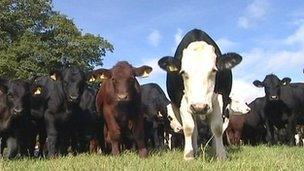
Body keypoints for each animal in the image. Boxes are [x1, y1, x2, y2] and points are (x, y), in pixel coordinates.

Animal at [158, 28, 241, 160]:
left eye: (214, 70)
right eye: (183, 72)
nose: (199, 107)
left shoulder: (220, 97)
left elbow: (217, 128)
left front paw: (221, 155)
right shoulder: (182, 100)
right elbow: (189, 128)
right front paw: (188, 155)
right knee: (195, 130)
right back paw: (195, 150)